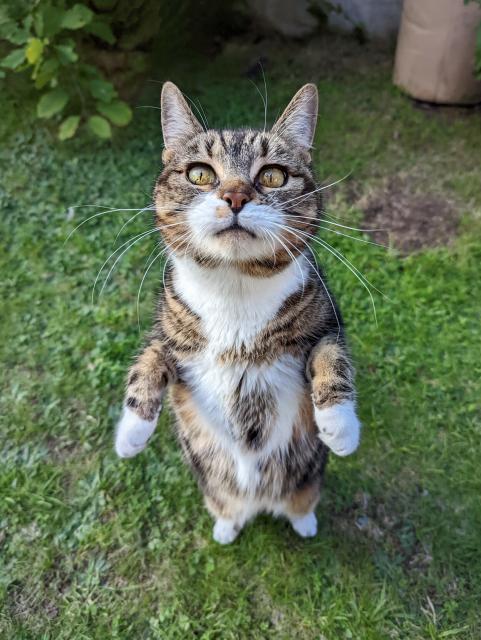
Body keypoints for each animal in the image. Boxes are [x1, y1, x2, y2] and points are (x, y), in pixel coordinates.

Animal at [113, 79, 360, 540]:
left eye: (272, 175)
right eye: (200, 173)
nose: (235, 195)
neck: (235, 285)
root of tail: (259, 505)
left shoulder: (325, 319)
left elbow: (331, 355)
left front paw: (340, 426)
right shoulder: (169, 331)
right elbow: (149, 360)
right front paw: (131, 433)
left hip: (307, 483)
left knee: (301, 501)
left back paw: (305, 523)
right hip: (215, 490)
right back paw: (226, 528)